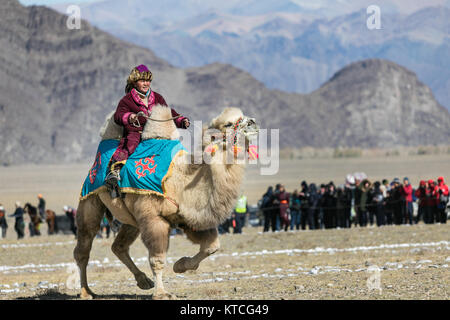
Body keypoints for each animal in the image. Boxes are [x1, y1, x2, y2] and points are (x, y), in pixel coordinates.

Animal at [73, 105, 256, 300]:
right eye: (228, 124)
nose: (253, 123)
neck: (181, 179)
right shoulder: (154, 219)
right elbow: (157, 258)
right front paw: (162, 293)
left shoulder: (187, 219)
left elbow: (212, 246)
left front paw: (180, 265)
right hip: (90, 201)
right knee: (83, 248)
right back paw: (86, 291)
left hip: (132, 219)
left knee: (118, 246)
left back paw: (143, 281)